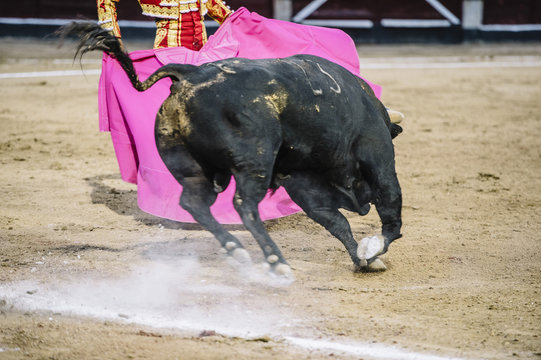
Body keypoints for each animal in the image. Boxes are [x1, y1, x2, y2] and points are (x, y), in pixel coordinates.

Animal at [62, 22, 400, 274]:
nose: (361, 204)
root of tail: (189, 75)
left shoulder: (306, 185)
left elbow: (336, 222)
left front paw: (364, 258)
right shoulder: (379, 158)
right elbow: (391, 215)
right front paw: (373, 249)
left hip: (192, 167)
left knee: (194, 202)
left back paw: (236, 250)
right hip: (255, 161)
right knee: (245, 205)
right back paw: (276, 262)